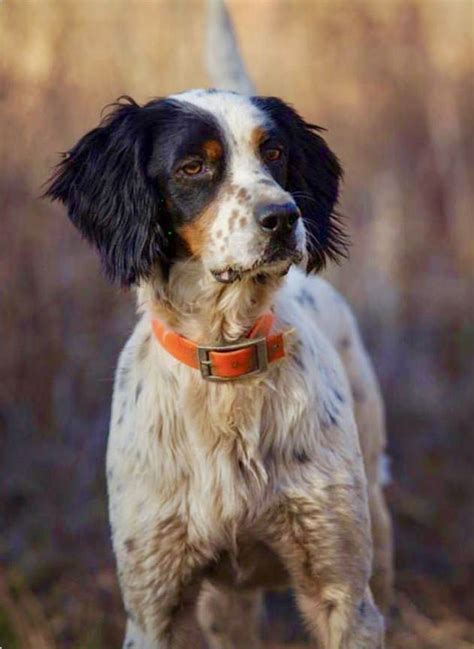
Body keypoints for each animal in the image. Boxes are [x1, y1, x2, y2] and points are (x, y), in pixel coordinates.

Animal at [45, 1, 392, 648]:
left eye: (275, 153)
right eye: (192, 166)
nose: (285, 216)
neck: (227, 360)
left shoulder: (343, 597)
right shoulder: (155, 607)